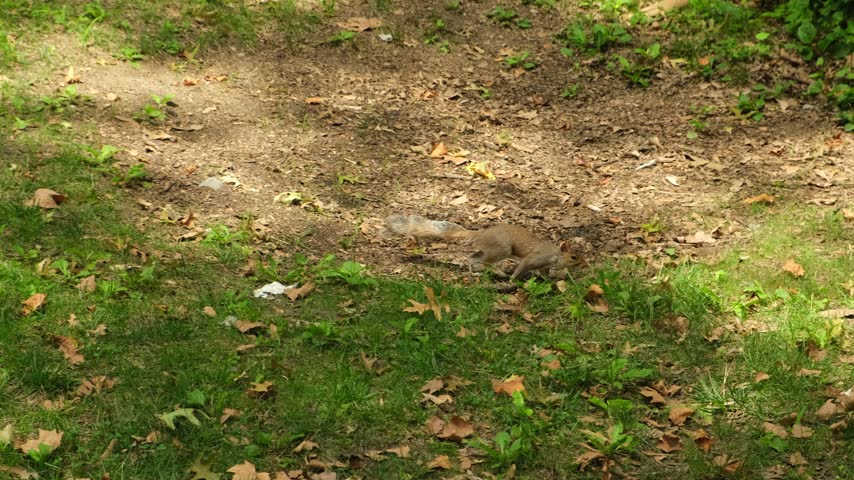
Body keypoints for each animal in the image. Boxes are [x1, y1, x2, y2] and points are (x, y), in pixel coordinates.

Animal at [385, 215, 579, 280]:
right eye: (574, 257)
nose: (583, 265)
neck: (554, 254)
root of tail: (482, 234)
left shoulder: (543, 265)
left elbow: (544, 274)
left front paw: (551, 280)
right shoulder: (534, 258)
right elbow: (522, 267)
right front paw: (513, 280)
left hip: (489, 250)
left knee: (472, 257)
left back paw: (473, 271)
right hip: (501, 250)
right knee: (482, 261)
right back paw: (498, 273)